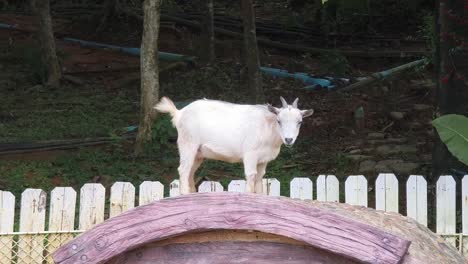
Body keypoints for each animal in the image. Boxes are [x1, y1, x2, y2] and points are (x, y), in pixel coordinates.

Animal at [154, 96, 314, 194]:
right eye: (279, 121)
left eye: (300, 122)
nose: (289, 139)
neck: (268, 128)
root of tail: (179, 113)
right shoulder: (250, 155)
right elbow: (251, 176)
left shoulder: (263, 160)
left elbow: (260, 178)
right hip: (188, 144)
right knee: (183, 170)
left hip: (198, 153)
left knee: (191, 172)